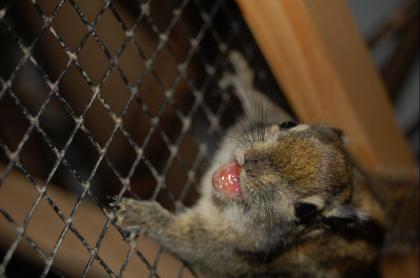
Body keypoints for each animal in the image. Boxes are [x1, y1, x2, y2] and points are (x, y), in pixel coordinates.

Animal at [113, 51, 418, 276]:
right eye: (288, 123)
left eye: (305, 211)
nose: (250, 161)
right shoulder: (263, 117)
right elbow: (258, 101)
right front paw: (242, 78)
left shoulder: (227, 251)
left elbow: (184, 239)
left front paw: (139, 215)